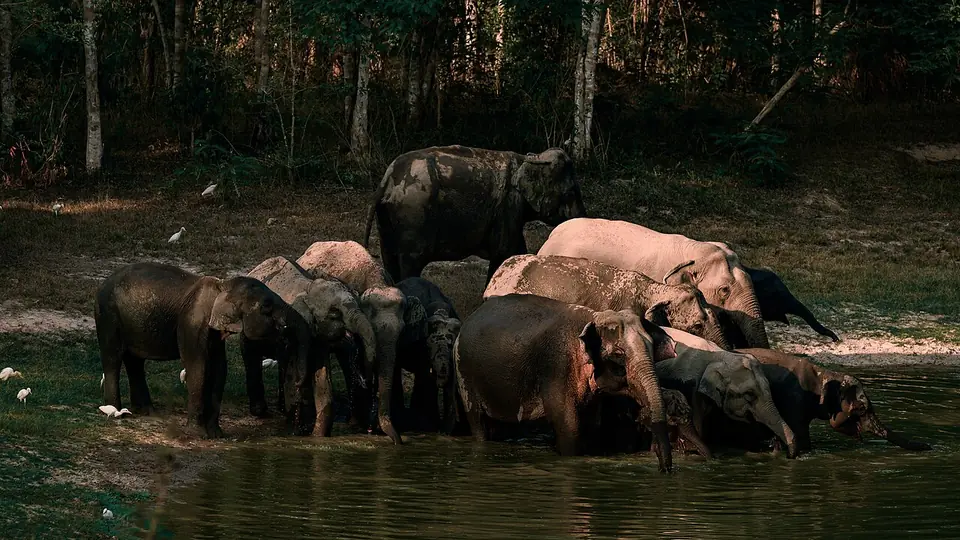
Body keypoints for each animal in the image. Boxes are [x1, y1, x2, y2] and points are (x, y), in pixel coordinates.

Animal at [94, 262, 312, 438]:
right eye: (266, 307)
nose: (297, 383)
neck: (223, 285)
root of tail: (103, 284)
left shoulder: (213, 330)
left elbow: (219, 369)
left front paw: (216, 435)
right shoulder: (192, 322)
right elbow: (198, 367)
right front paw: (198, 435)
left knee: (135, 362)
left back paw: (146, 412)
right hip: (107, 313)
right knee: (113, 358)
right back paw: (116, 411)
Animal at [246, 256, 379, 435]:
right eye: (334, 313)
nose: (367, 380)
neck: (308, 288)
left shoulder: (318, 336)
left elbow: (322, 378)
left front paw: (316, 436)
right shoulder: (293, 330)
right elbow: (293, 371)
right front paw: (296, 430)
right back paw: (260, 409)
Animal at [362, 145, 587, 282]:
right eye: (571, 192)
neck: (529, 159)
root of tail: (387, 179)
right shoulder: (508, 207)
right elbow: (505, 252)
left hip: (388, 218)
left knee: (390, 258)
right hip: (414, 215)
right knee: (411, 262)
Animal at [454, 293, 676, 471]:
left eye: (652, 349)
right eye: (618, 355)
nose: (664, 468)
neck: (594, 317)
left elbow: (591, 425)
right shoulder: (556, 367)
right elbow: (570, 428)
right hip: (464, 372)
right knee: (479, 422)